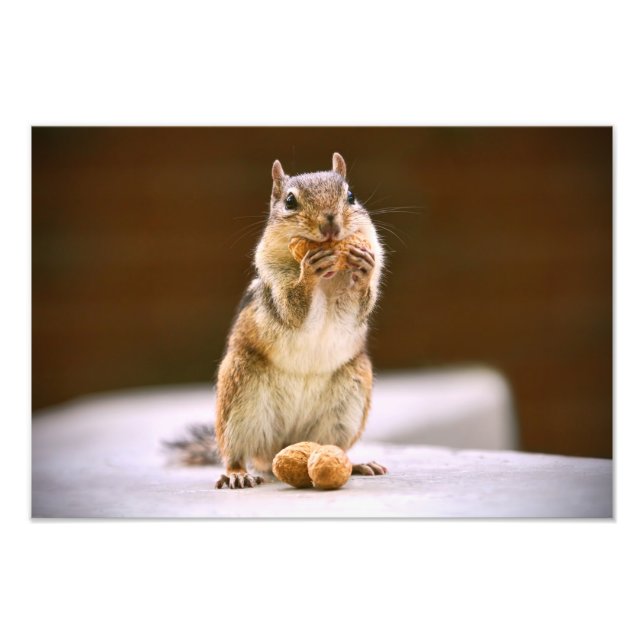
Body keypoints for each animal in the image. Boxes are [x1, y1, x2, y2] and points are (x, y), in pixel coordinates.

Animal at [167, 153, 387, 488]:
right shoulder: (276, 286)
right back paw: (237, 474)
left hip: (348, 403)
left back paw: (358, 464)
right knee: (235, 452)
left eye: (350, 196)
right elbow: (294, 310)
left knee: (330, 446)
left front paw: (362, 267)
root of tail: (282, 446)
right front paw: (308, 272)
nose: (330, 223)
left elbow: (357, 306)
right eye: (290, 201)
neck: (329, 278)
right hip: (238, 398)